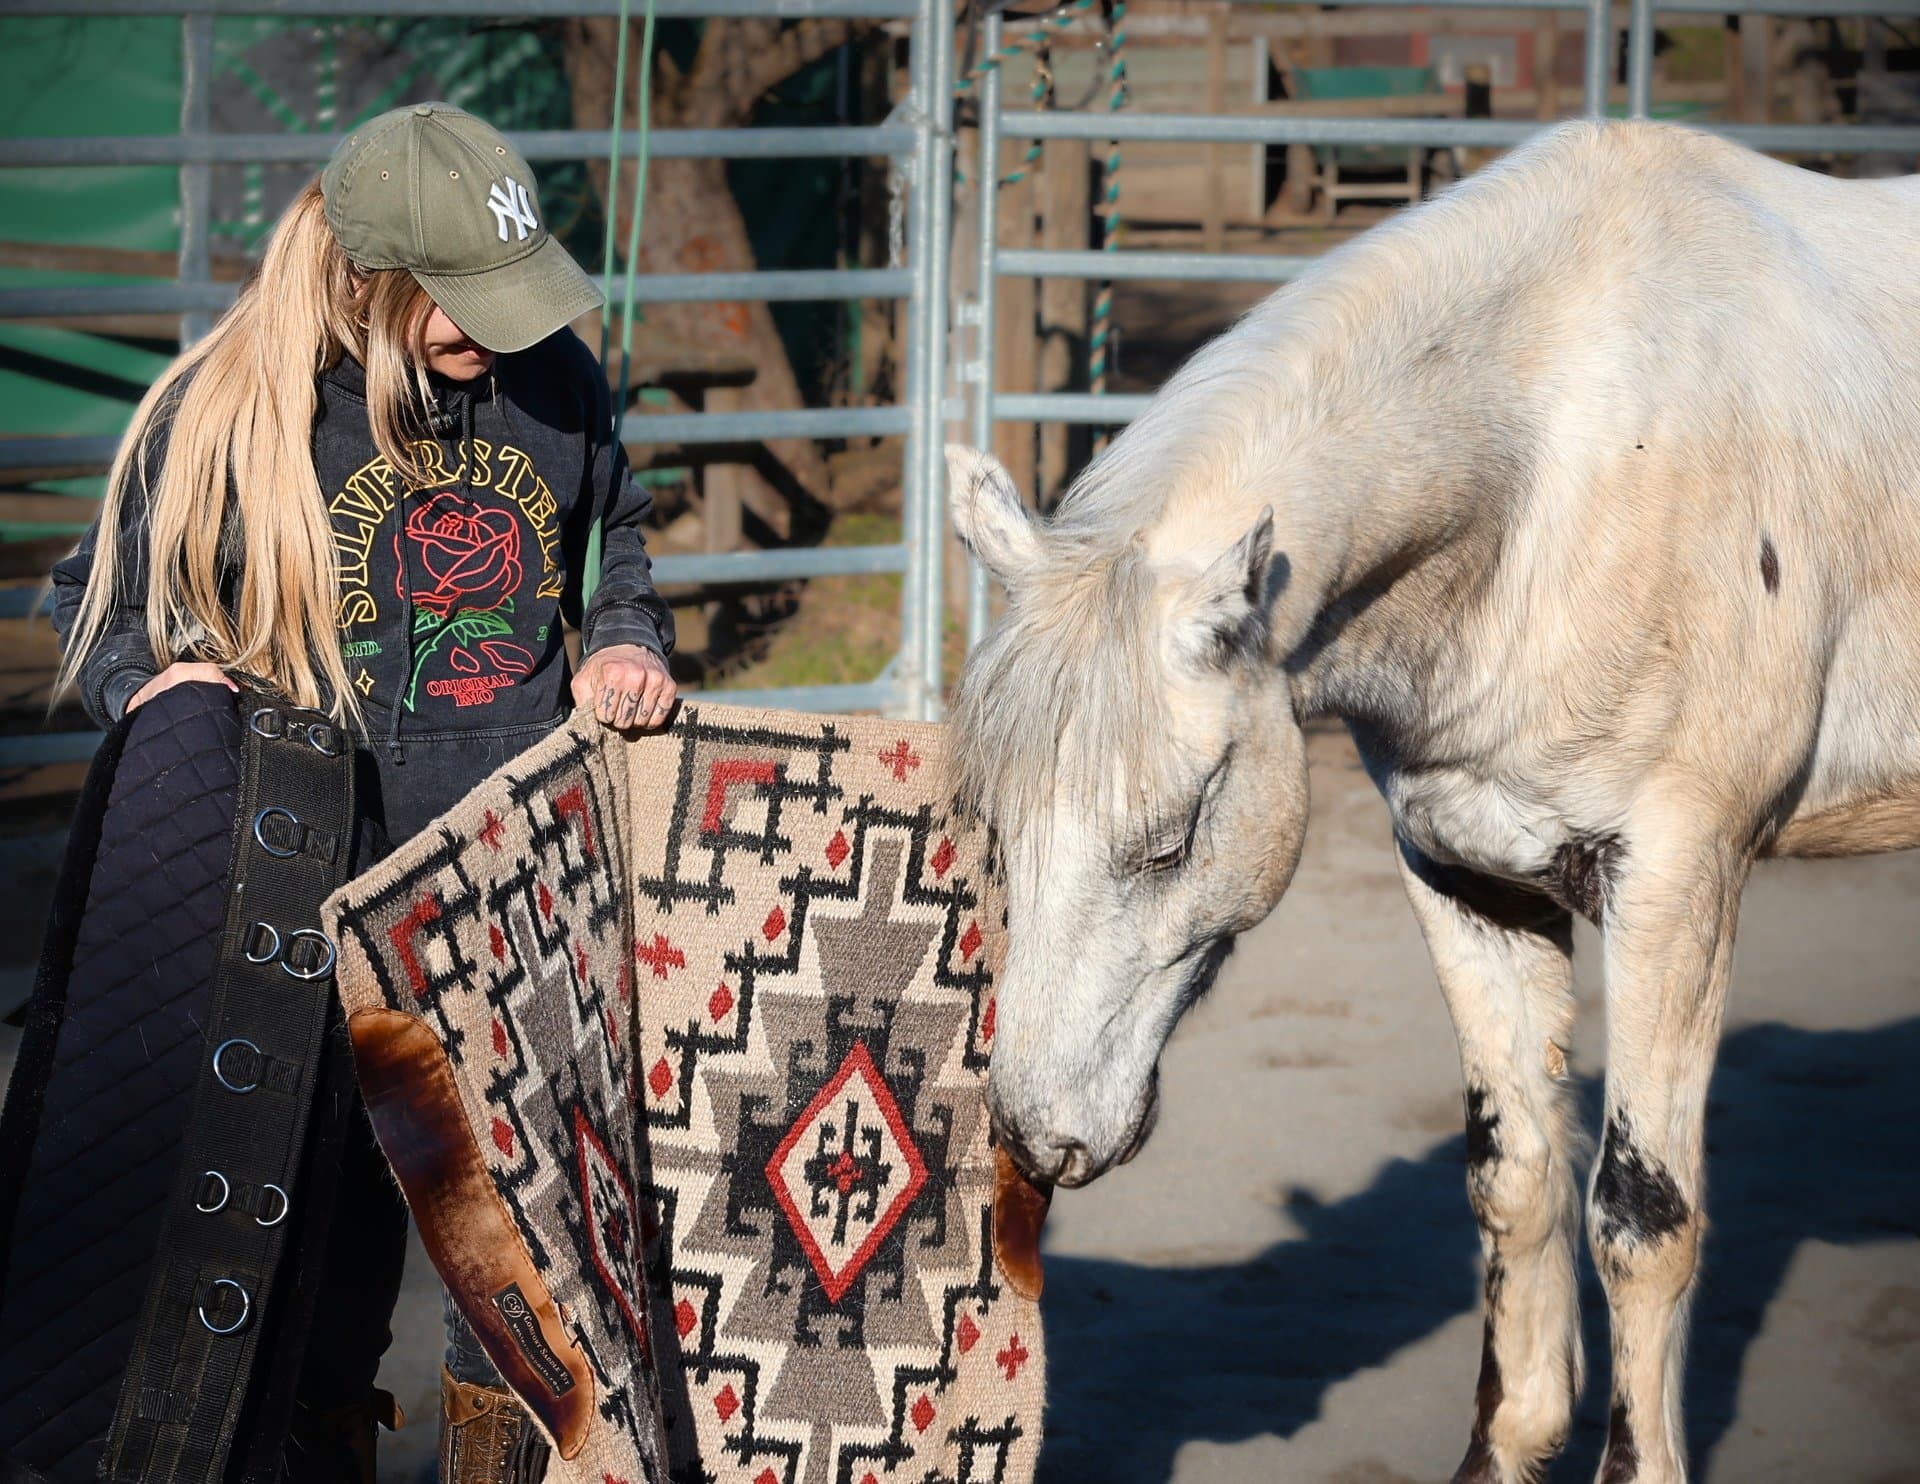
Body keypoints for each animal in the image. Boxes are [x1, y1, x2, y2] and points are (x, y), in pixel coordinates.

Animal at [944, 119, 1920, 1484]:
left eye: (1173, 837)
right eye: (995, 825)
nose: (1036, 1136)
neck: (1565, 472)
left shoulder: (1679, 882)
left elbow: (1641, 1217)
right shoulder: (1468, 871)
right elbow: (1514, 1177)